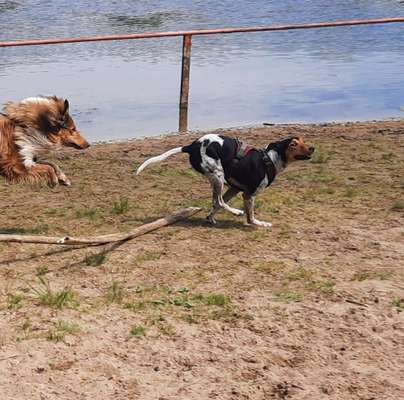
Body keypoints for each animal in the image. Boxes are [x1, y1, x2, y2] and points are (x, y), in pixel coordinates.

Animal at [137, 134, 314, 227]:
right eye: (293, 144)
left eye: (303, 141)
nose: (312, 148)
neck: (270, 159)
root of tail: (191, 146)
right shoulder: (248, 195)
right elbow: (250, 216)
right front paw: (258, 223)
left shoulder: (234, 189)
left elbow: (215, 206)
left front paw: (209, 217)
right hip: (218, 175)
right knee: (220, 201)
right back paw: (236, 212)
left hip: (216, 180)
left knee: (217, 201)